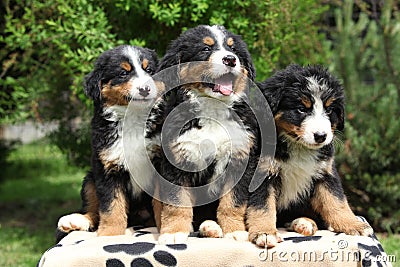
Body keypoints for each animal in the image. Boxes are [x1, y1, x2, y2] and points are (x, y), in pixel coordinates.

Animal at [56, 45, 164, 240]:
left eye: (150, 70)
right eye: (123, 73)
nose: (145, 89)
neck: (132, 120)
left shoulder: (160, 164)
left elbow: (161, 203)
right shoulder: (108, 168)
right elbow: (111, 206)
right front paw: (110, 235)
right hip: (90, 179)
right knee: (93, 210)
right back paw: (75, 221)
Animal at [155, 24, 258, 245]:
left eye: (233, 49)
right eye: (205, 49)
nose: (230, 59)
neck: (212, 108)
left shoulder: (240, 158)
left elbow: (232, 202)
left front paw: (234, 230)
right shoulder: (176, 159)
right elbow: (177, 201)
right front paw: (174, 232)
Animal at [245, 63, 374, 248]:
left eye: (329, 110)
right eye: (301, 109)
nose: (321, 136)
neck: (299, 147)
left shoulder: (326, 173)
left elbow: (337, 201)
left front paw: (353, 224)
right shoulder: (262, 173)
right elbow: (262, 205)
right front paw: (265, 232)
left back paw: (304, 223)